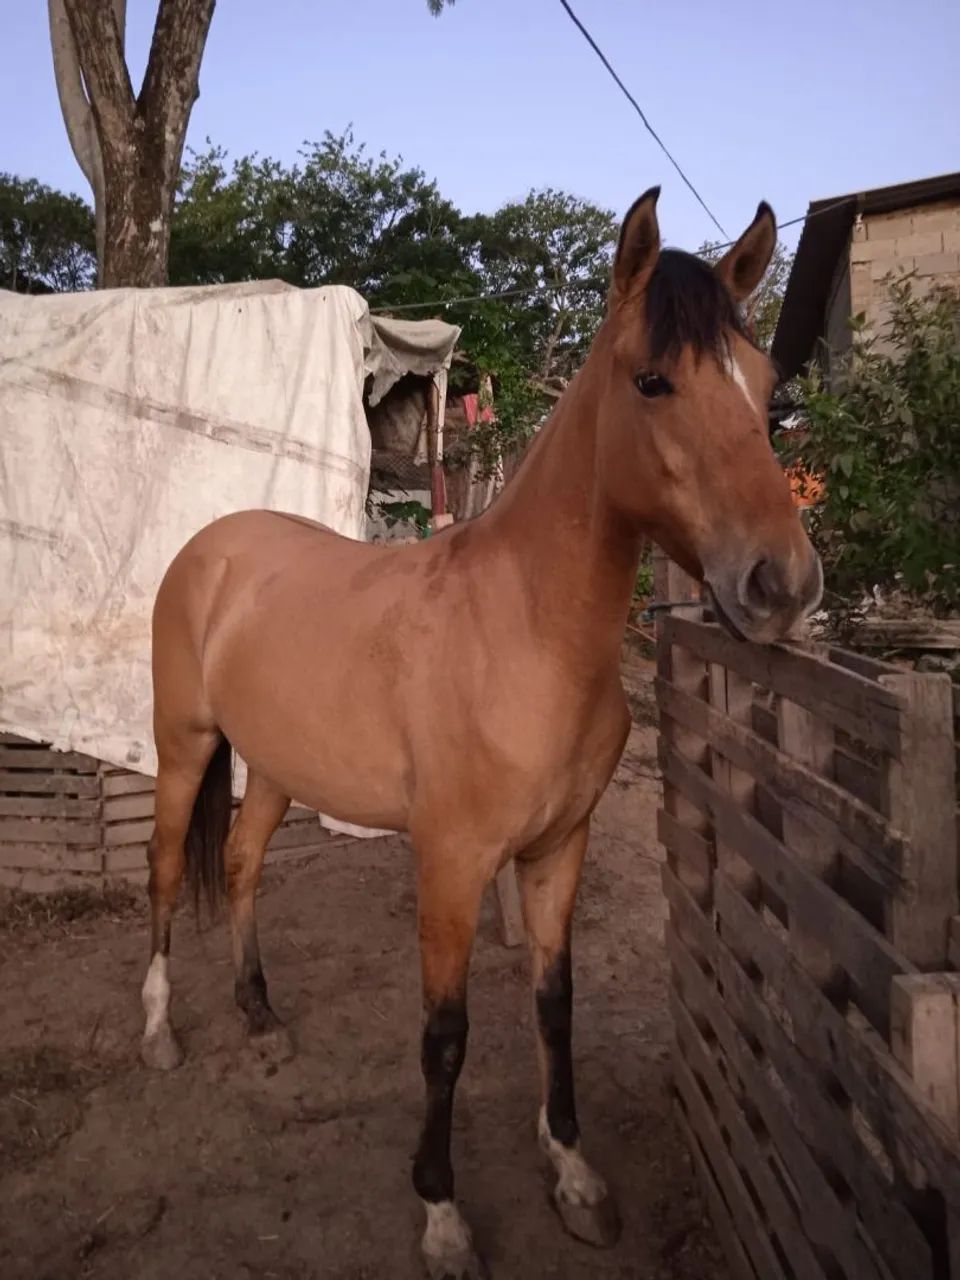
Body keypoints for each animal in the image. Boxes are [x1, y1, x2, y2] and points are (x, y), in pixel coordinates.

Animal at [141, 187, 822, 1279]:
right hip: (184, 745)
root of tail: (212, 546)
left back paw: (259, 1013)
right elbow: (446, 1035)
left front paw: (575, 1173)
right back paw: (161, 1032)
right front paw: (442, 1214)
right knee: (166, 870)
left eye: (761, 385)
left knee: (240, 865)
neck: (526, 627)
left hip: (278, 766)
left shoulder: (556, 851)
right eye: (653, 380)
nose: (784, 585)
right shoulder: (453, 863)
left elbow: (554, 1004)